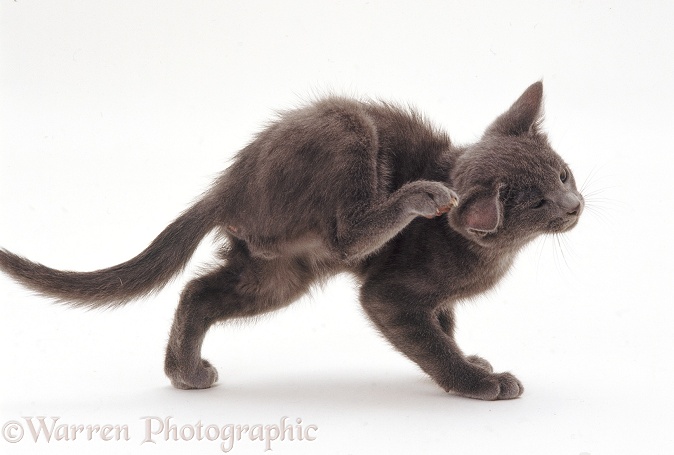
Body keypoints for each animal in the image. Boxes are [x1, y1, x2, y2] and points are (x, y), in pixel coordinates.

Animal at [0, 83, 580, 402]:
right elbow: (428, 339)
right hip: (346, 130)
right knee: (348, 235)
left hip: (278, 273)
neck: (491, 253)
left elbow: (444, 327)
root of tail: (231, 183)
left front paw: (472, 361)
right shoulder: (391, 293)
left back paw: (184, 372)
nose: (574, 206)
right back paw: (418, 196)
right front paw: (475, 381)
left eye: (564, 175)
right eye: (538, 204)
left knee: (198, 292)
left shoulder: (435, 298)